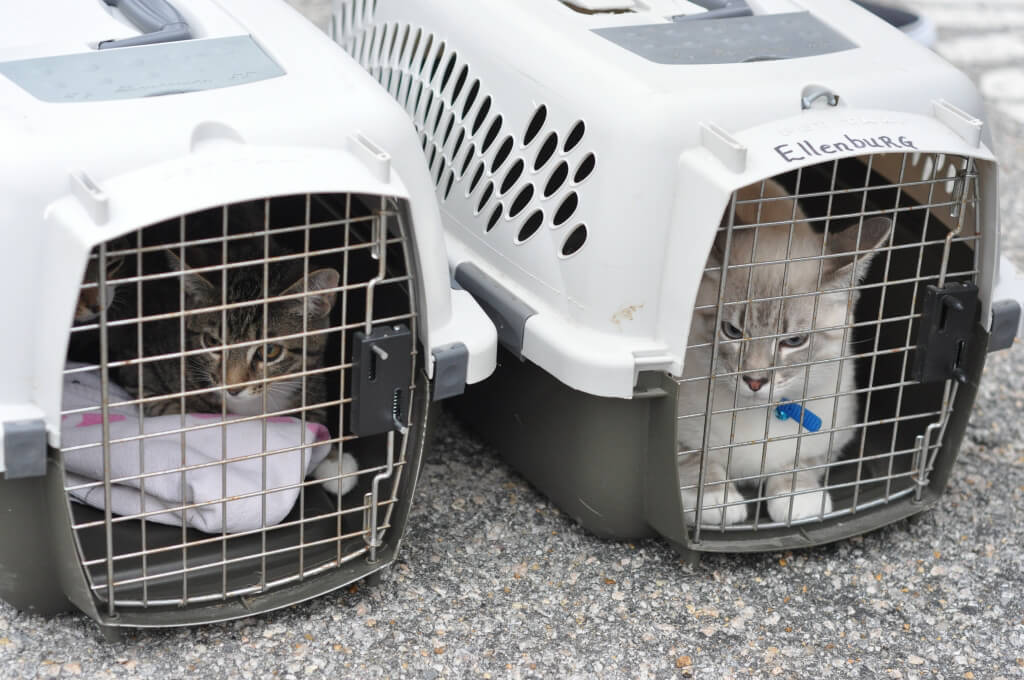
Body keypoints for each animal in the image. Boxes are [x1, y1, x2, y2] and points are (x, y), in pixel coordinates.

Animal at [679, 180, 888, 524]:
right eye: (732, 331)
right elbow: (693, 459)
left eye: (794, 341)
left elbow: (799, 464)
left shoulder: (833, 435)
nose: (755, 380)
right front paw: (718, 501)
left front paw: (799, 500)